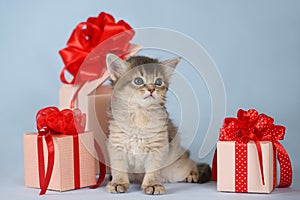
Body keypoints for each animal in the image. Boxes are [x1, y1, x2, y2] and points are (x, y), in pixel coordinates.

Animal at [105, 54, 211, 195]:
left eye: (158, 82)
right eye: (138, 81)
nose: (151, 89)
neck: (140, 115)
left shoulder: (158, 146)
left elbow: (153, 170)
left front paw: (153, 184)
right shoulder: (117, 144)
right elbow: (118, 167)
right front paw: (118, 182)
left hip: (176, 168)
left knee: (190, 162)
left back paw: (193, 173)